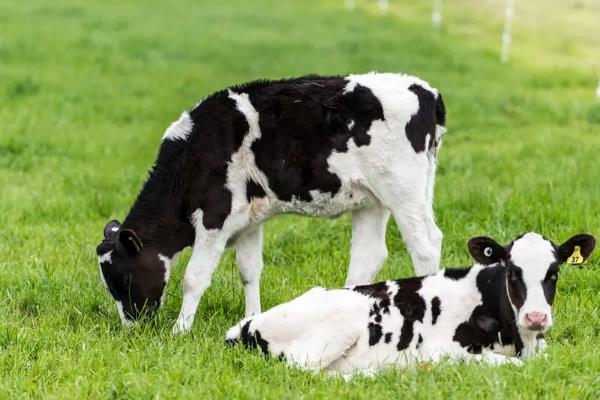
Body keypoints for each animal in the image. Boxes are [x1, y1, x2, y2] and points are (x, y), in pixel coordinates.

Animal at [96, 72, 448, 334]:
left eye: (123, 279)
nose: (131, 326)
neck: (196, 151)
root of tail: (427, 91)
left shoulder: (214, 216)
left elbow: (194, 278)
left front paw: (180, 331)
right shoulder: (249, 218)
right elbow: (249, 270)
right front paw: (250, 318)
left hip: (403, 189)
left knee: (425, 245)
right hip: (374, 199)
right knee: (369, 255)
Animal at [225, 231, 596, 376]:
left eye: (553, 273)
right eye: (513, 272)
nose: (536, 317)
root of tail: (243, 325)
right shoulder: (443, 348)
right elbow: (508, 365)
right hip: (336, 328)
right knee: (306, 372)